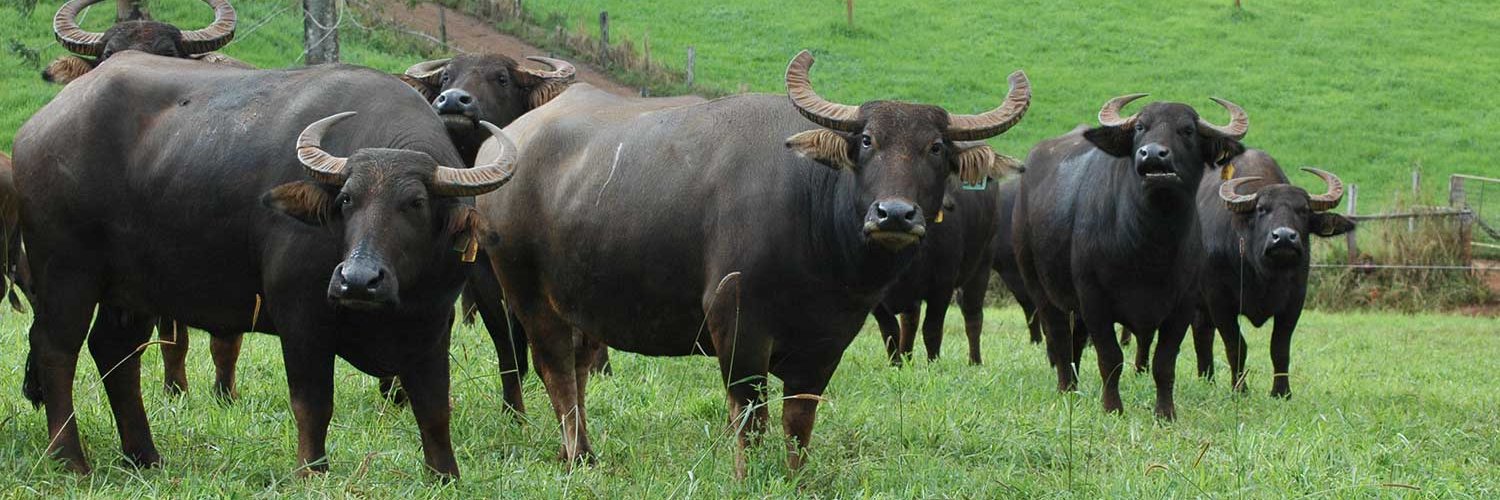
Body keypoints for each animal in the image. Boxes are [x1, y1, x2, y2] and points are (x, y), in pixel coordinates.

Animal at [14, 52, 514, 476]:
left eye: (415, 204)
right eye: (346, 200)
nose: (357, 281)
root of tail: (40, 126)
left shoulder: (433, 323)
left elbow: (433, 407)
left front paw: (444, 474)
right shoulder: (301, 316)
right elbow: (313, 403)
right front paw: (312, 470)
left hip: (132, 291)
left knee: (116, 353)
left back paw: (144, 456)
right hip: (66, 271)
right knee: (56, 350)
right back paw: (70, 459)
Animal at [477, 50, 1029, 476]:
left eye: (935, 147)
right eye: (867, 141)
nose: (894, 213)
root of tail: (506, 145)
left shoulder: (828, 340)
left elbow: (798, 421)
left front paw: (796, 476)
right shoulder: (736, 322)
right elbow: (750, 415)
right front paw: (748, 475)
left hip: (583, 303)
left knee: (579, 367)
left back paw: (584, 452)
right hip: (528, 294)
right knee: (555, 371)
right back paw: (576, 457)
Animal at [1014, 94, 1248, 418]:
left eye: (1187, 130)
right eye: (1140, 127)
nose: (1152, 155)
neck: (1150, 247)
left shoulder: (1183, 306)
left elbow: (1164, 363)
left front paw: (1165, 413)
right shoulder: (1094, 299)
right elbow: (1110, 358)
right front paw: (1112, 408)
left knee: (1075, 340)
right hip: (1038, 285)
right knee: (1059, 337)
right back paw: (1066, 388)